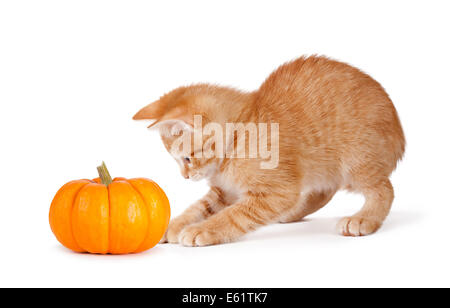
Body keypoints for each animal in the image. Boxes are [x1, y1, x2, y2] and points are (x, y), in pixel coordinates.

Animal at [133, 55, 404, 247]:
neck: (240, 135)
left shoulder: (278, 190)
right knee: (323, 191)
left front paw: (203, 229)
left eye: (187, 158)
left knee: (384, 189)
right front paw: (175, 224)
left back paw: (364, 219)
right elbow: (200, 207)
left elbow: (235, 214)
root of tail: (399, 132)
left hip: (355, 160)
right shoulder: (224, 191)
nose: (185, 177)